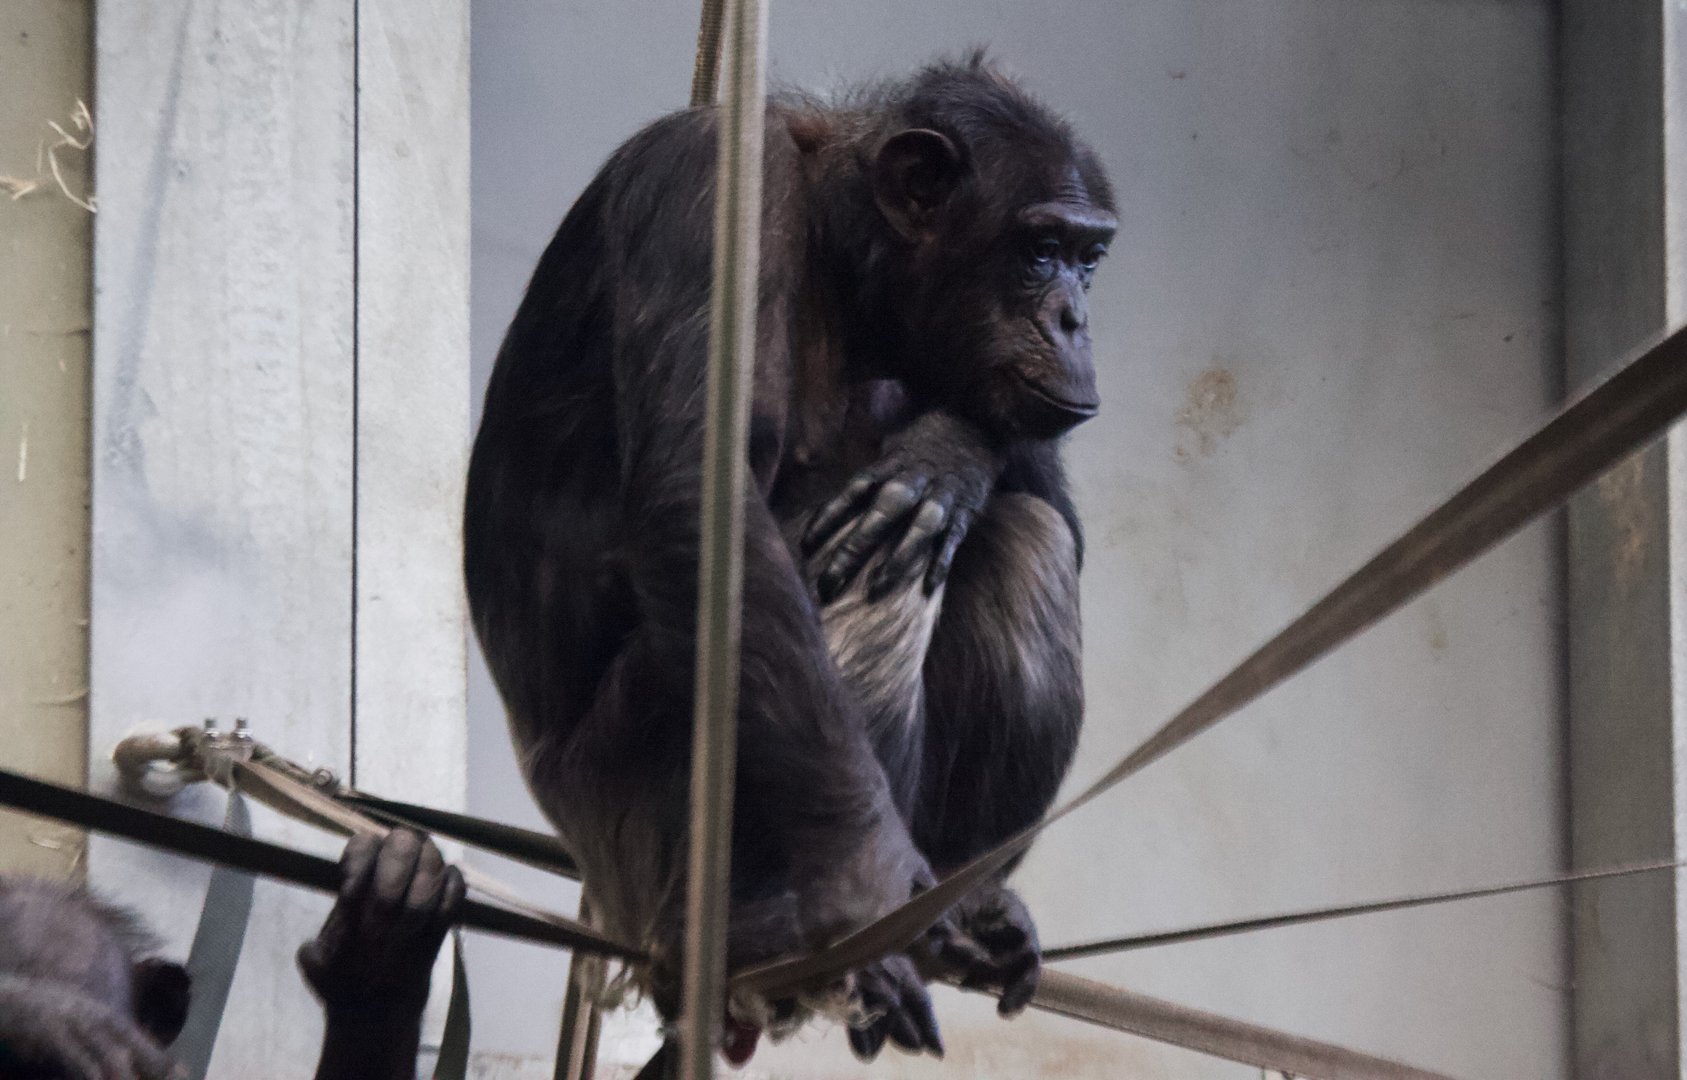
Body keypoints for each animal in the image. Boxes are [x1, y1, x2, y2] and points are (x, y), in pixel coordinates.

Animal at [465, 50, 1111, 1061]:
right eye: (1038, 250)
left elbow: (1059, 517)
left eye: (1089, 258)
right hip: (641, 831)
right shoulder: (712, 181)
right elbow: (705, 496)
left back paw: (974, 910)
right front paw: (861, 881)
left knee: (1024, 541)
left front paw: (952, 452)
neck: (848, 270)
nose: (1074, 317)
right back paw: (790, 938)